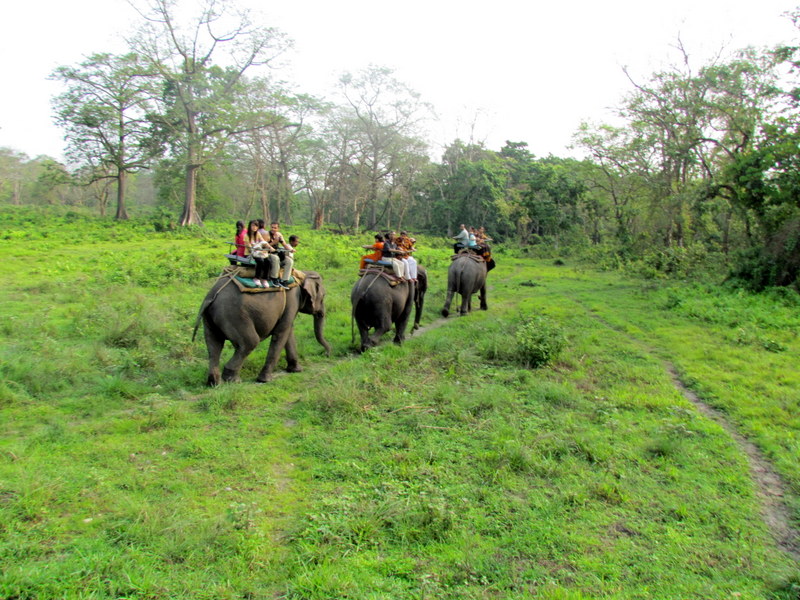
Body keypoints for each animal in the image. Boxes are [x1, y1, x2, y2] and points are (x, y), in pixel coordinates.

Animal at [195, 271, 331, 386]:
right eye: (323, 296)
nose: (326, 354)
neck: (301, 275)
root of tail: (211, 296)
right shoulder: (293, 299)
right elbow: (281, 333)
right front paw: (265, 380)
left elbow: (288, 331)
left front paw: (296, 370)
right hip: (234, 316)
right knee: (249, 343)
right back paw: (233, 380)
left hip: (210, 319)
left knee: (214, 346)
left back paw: (214, 383)